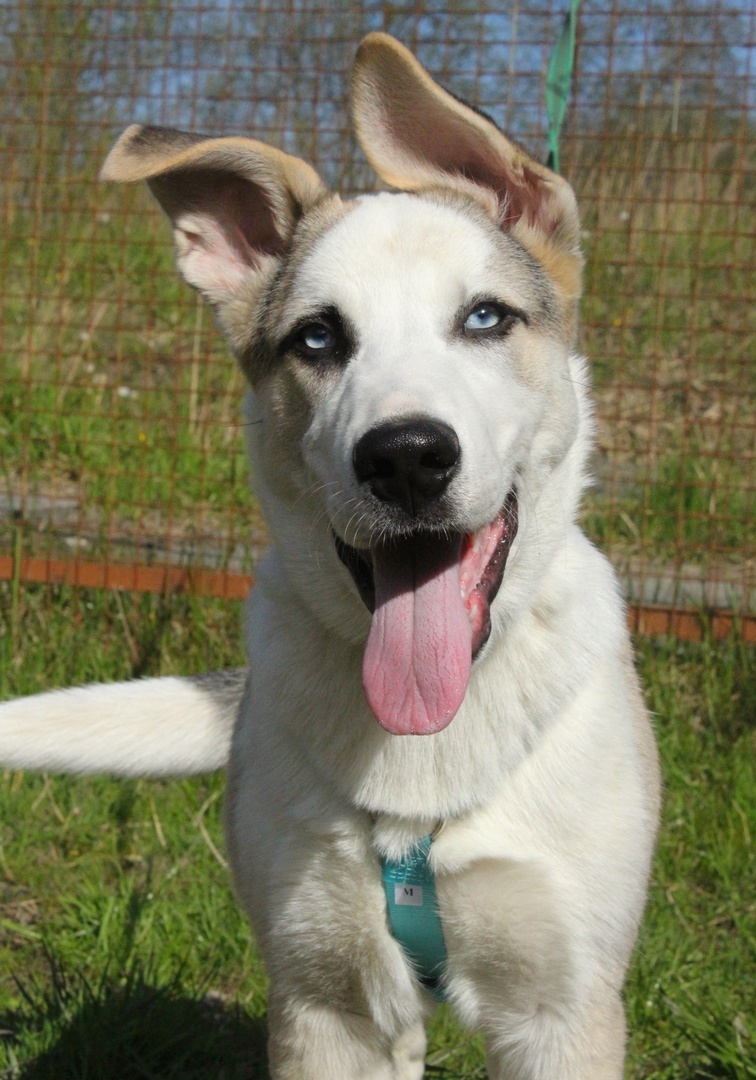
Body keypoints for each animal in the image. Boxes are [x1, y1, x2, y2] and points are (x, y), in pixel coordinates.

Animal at [0, 33, 660, 1079]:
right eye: (317, 337)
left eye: (485, 318)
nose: (406, 458)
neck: (426, 741)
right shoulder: (326, 1003)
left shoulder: (564, 1012)